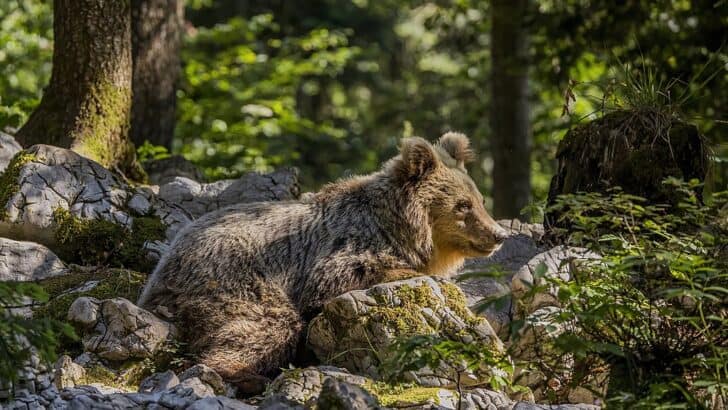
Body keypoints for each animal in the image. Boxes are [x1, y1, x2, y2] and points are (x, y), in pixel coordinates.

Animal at [137, 132, 508, 391]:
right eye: (462, 205)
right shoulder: (339, 250)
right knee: (264, 325)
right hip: (233, 277)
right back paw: (248, 375)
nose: (498, 234)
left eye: (479, 199)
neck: (396, 228)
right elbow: (342, 276)